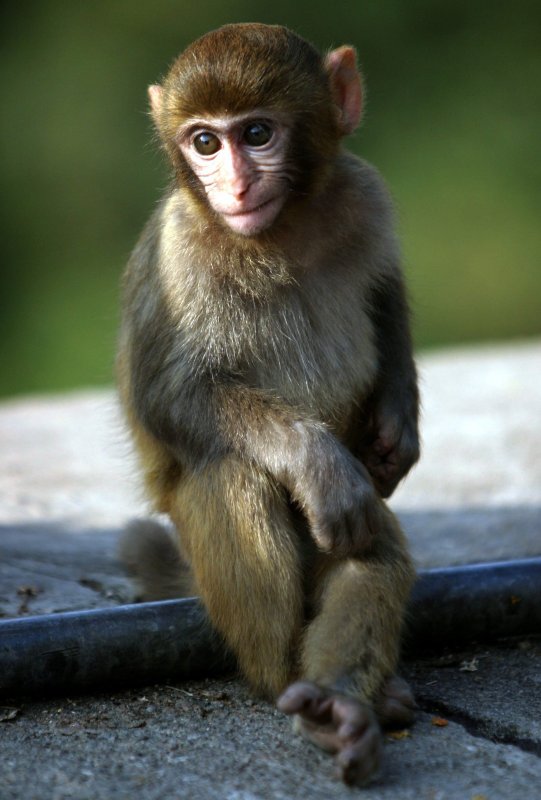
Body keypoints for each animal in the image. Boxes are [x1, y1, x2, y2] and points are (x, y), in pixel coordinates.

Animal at [118, 23, 420, 788]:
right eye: (204, 142)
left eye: (255, 134)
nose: (235, 184)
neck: (282, 231)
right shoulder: (179, 254)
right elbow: (169, 397)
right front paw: (319, 461)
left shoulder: (364, 193)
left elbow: (386, 298)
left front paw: (397, 425)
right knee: (234, 475)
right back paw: (285, 678)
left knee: (369, 546)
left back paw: (342, 706)